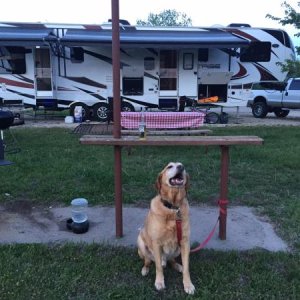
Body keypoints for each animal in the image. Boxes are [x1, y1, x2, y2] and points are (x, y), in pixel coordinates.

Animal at [138, 163, 196, 294]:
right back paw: (145, 269)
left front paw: (188, 284)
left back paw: (178, 266)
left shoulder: (185, 242)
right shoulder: (156, 243)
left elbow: (187, 268)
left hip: (178, 249)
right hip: (141, 243)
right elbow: (158, 267)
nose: (181, 167)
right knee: (149, 261)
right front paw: (159, 282)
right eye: (169, 166)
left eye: (181, 165)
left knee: (172, 260)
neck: (173, 208)